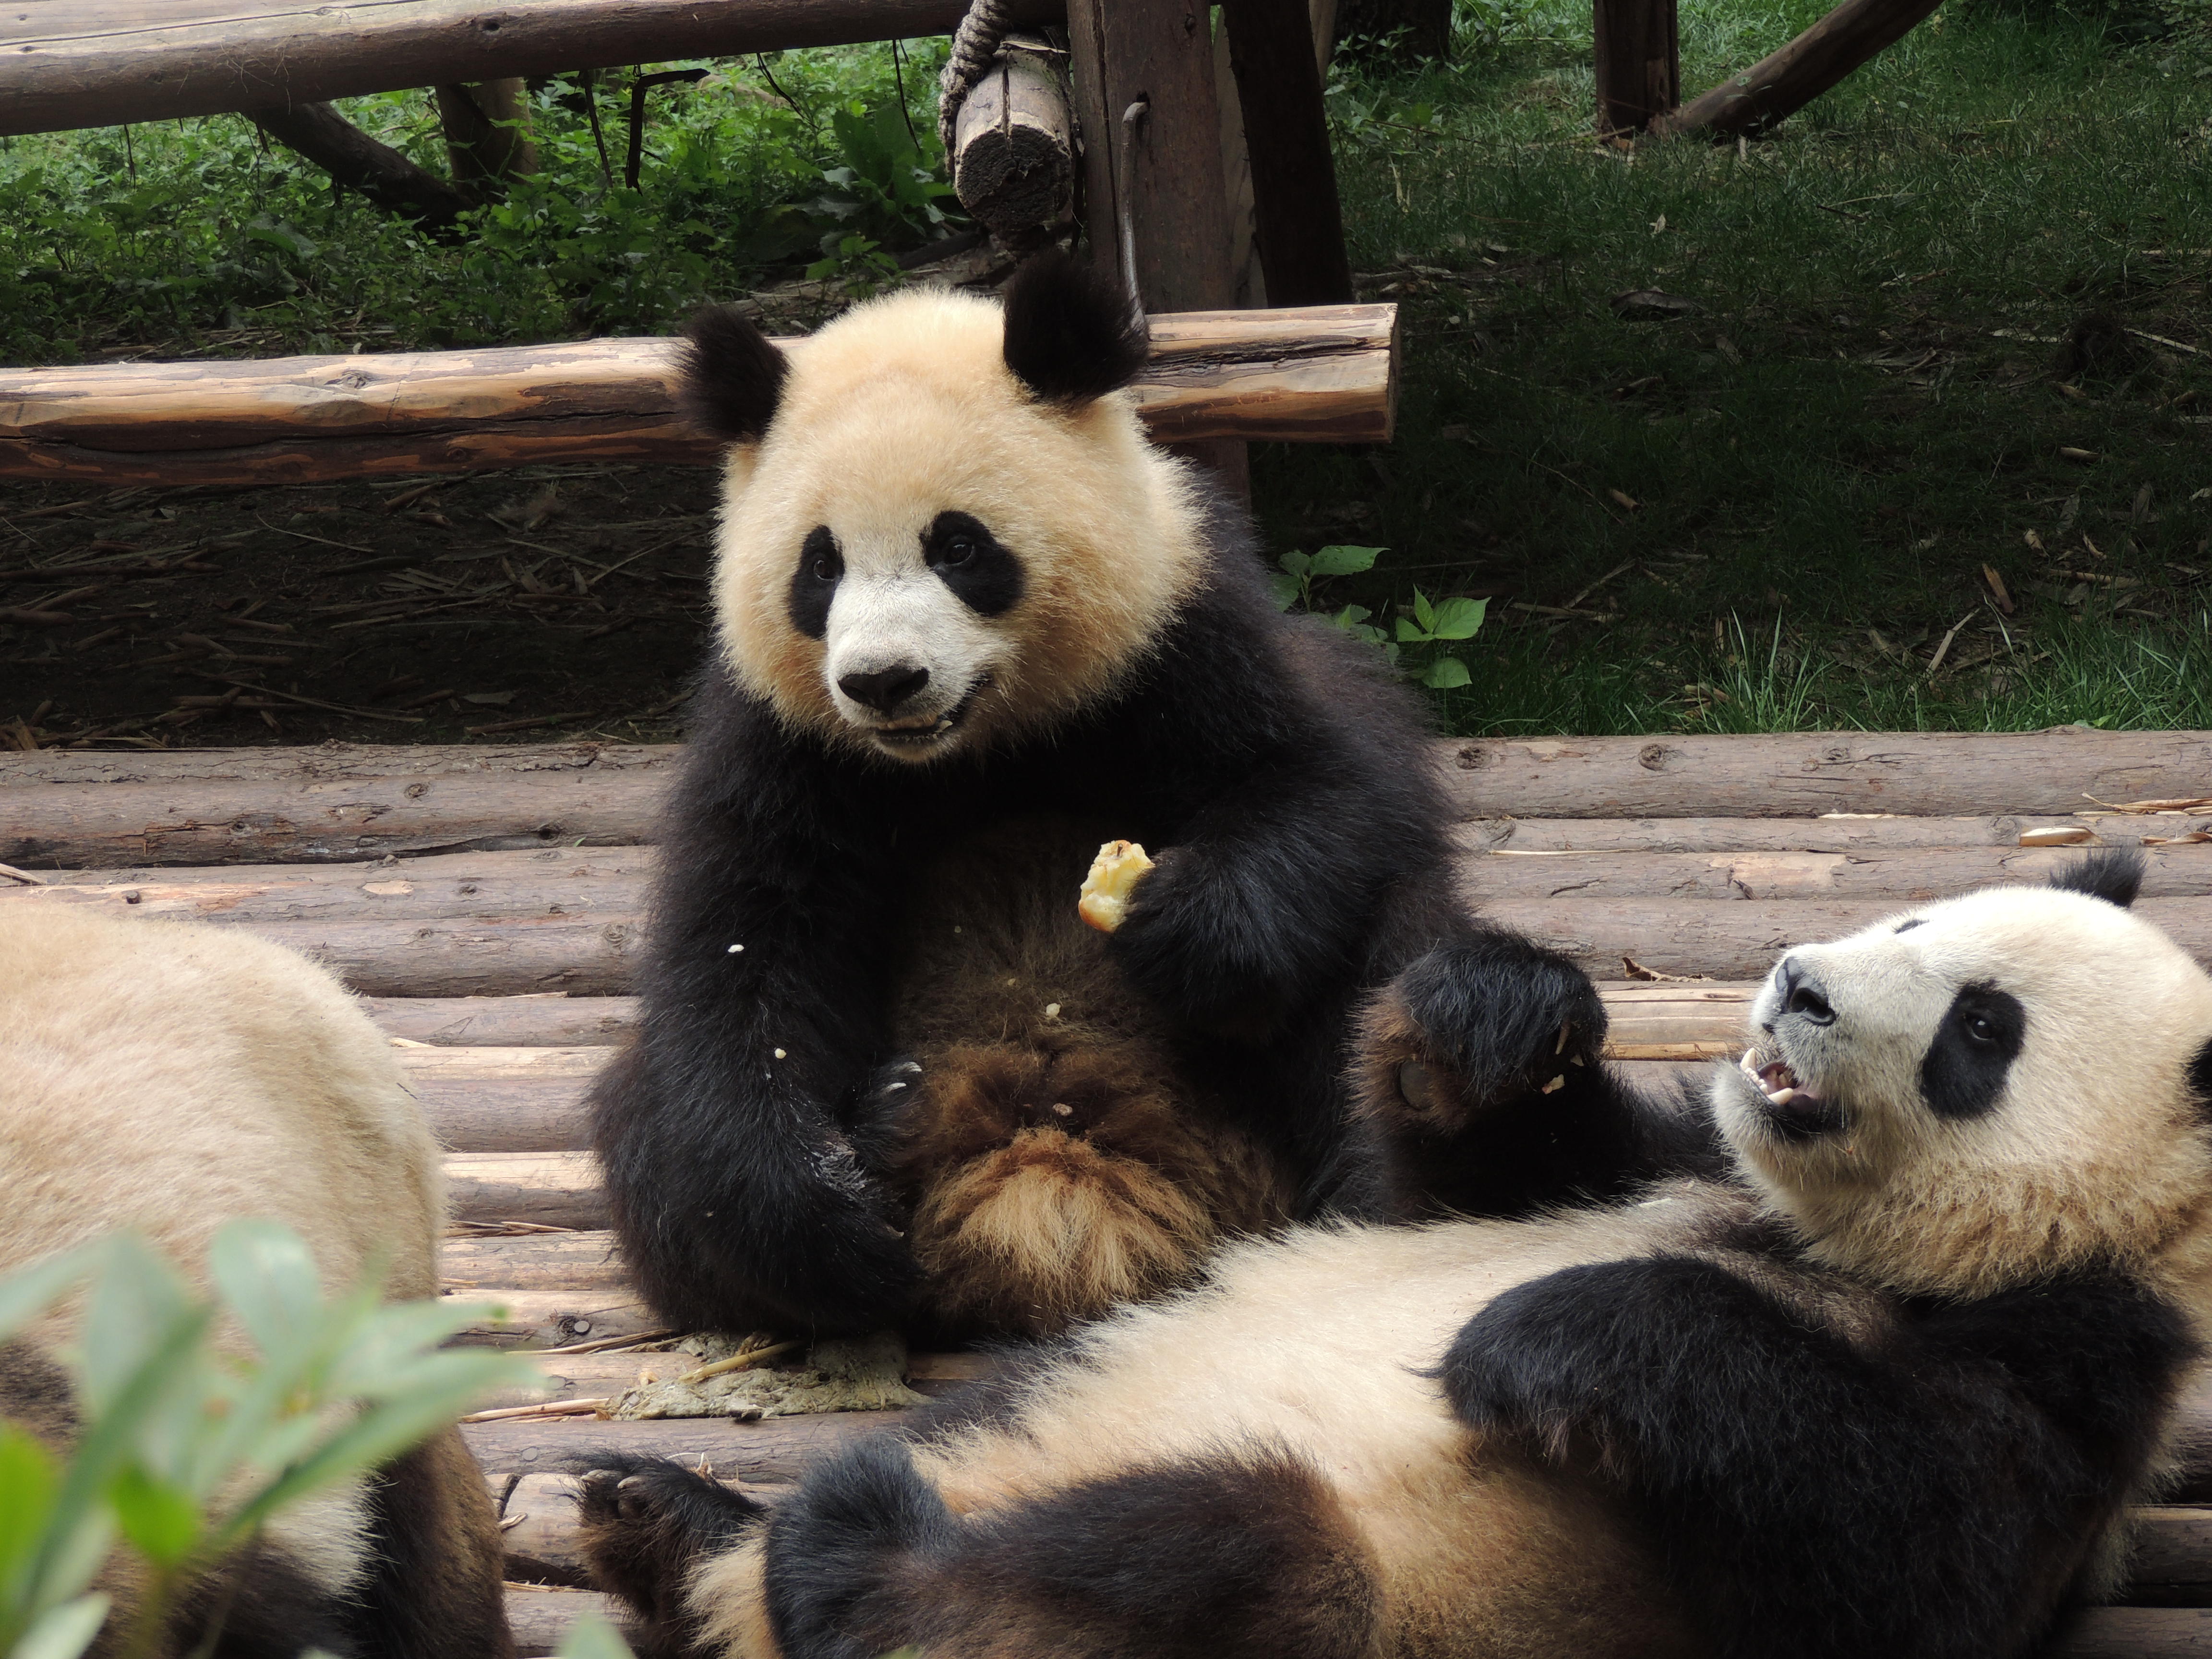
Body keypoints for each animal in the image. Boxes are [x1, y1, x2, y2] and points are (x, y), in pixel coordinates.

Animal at [579, 858, 2212, 1659]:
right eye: (1914, 916)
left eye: (1983, 1033)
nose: (1800, 991)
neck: (1820, 1233)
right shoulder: (1664, 1161)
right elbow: (1458, 1173)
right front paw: (1497, 1019)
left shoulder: (2074, 1373)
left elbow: (1903, 1550)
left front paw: (1551, 1341)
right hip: (1063, 1380)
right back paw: (672, 1524)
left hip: (1403, 1592)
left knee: (1217, 1560)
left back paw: (848, 1561)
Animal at [588, 246, 1646, 1345]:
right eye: (819, 563)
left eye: (958, 547)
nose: (884, 682)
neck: (979, 745)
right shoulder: (784, 739)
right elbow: (749, 945)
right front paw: (817, 1210)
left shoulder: (1186, 632)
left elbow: (1314, 786)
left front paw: (1185, 925)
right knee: (650, 1113)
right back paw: (877, 1144)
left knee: (1368, 983)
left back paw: (1445, 1123)